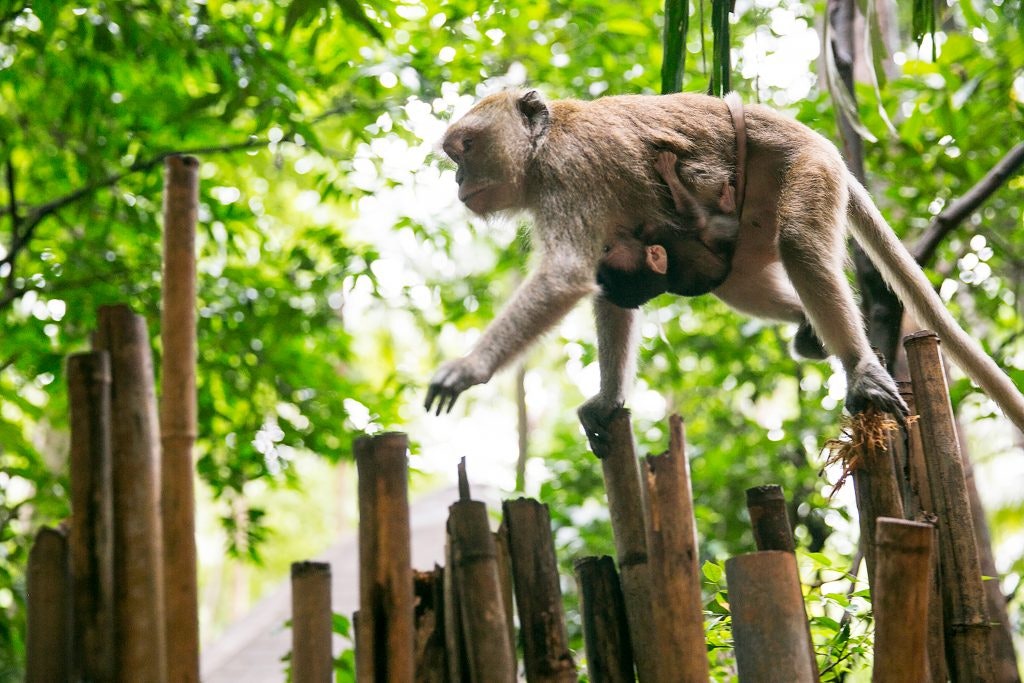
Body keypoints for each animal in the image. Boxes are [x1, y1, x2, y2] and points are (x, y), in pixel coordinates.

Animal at [422, 89, 1024, 456]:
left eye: (466, 148)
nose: (456, 180)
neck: (543, 147)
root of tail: (821, 141)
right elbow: (607, 282)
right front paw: (608, 400)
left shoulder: (569, 174)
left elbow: (566, 275)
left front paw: (468, 368)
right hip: (751, 221)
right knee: (737, 280)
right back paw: (810, 330)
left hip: (809, 168)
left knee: (799, 242)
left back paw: (860, 364)